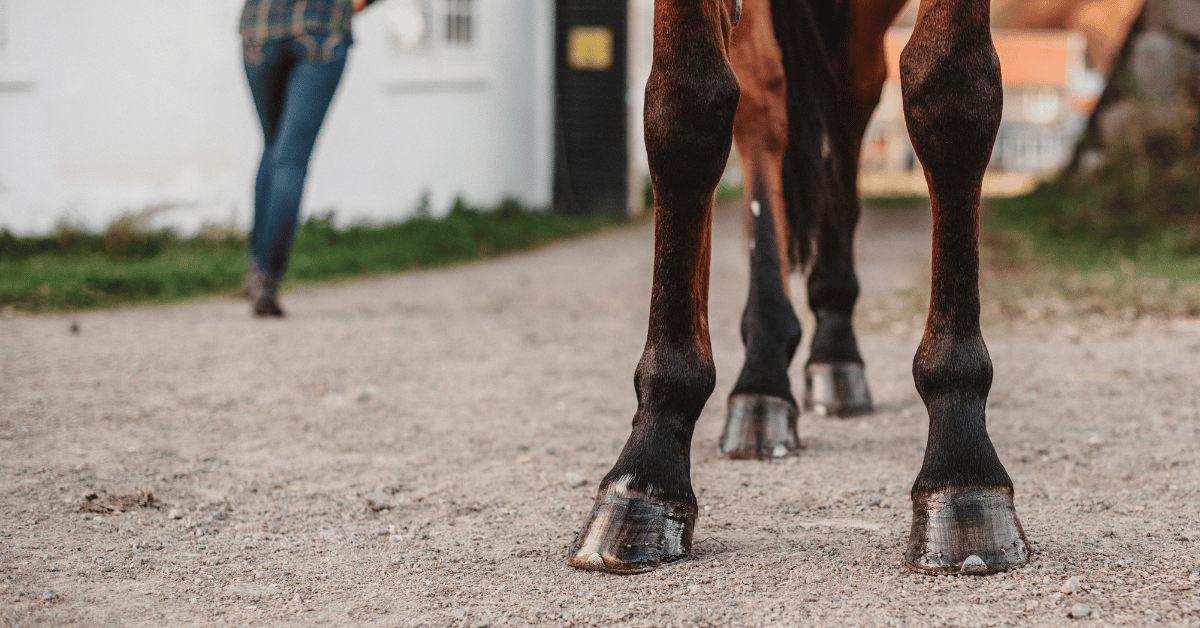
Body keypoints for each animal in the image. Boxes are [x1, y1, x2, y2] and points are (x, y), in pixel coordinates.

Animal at [567, 0, 1030, 576]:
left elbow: (953, 89)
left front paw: (962, 467)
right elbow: (684, 107)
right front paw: (647, 468)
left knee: (852, 98)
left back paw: (835, 352)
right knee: (764, 109)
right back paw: (763, 378)